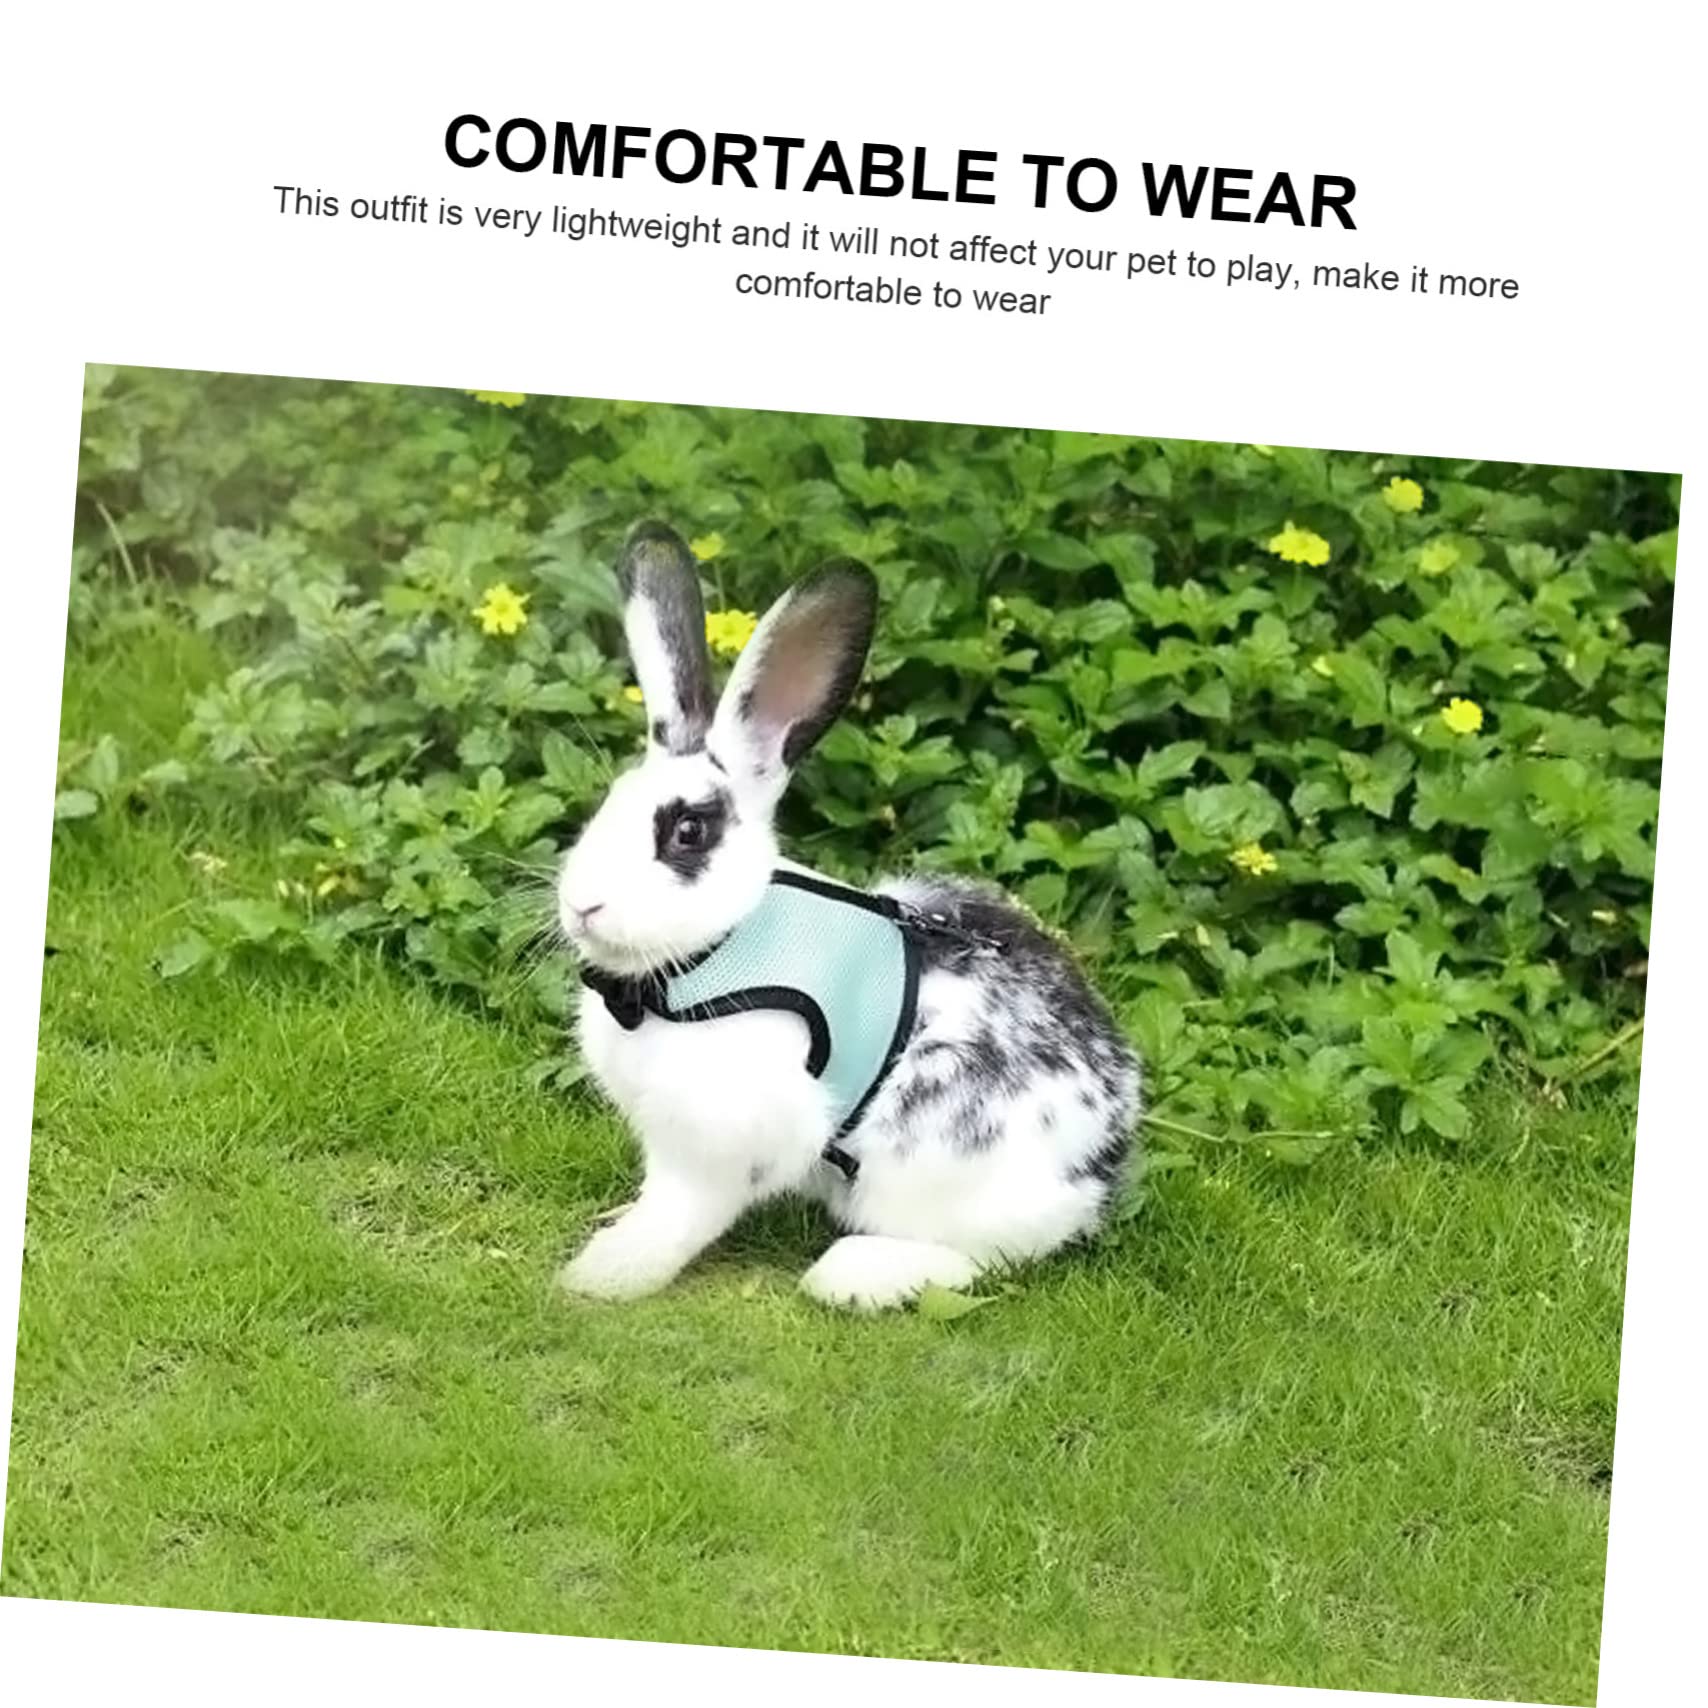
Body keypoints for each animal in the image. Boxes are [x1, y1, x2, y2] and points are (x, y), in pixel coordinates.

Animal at [556, 520, 1141, 1310]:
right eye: (607, 805)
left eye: (688, 832)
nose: (580, 904)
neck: (707, 958)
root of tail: (1101, 1164)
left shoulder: (726, 1146)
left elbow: (678, 1216)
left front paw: (601, 1277)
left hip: (935, 1171)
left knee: (986, 1260)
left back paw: (854, 1274)